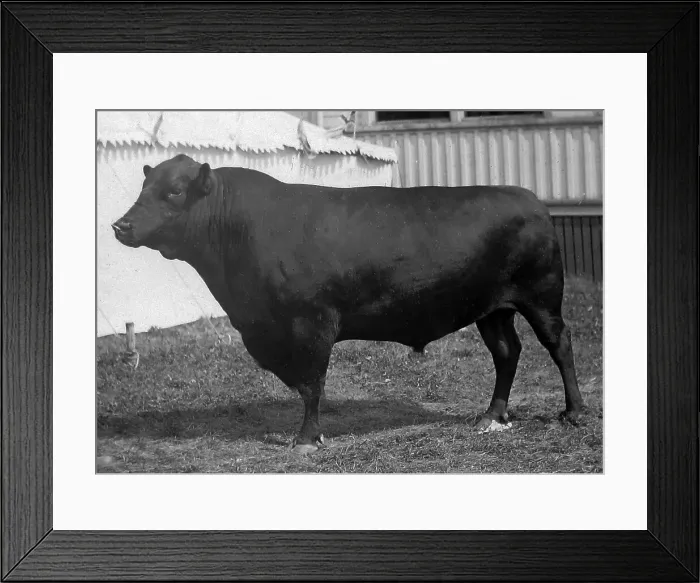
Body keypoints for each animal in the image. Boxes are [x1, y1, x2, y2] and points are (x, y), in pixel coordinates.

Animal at [112, 154, 585, 454]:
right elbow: (306, 383)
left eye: (175, 192)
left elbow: (311, 383)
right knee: (507, 353)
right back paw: (492, 416)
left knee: (559, 344)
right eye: (144, 186)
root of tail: (529, 198)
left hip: (541, 295)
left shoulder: (312, 321)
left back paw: (574, 412)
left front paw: (306, 439)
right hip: (491, 309)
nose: (121, 225)